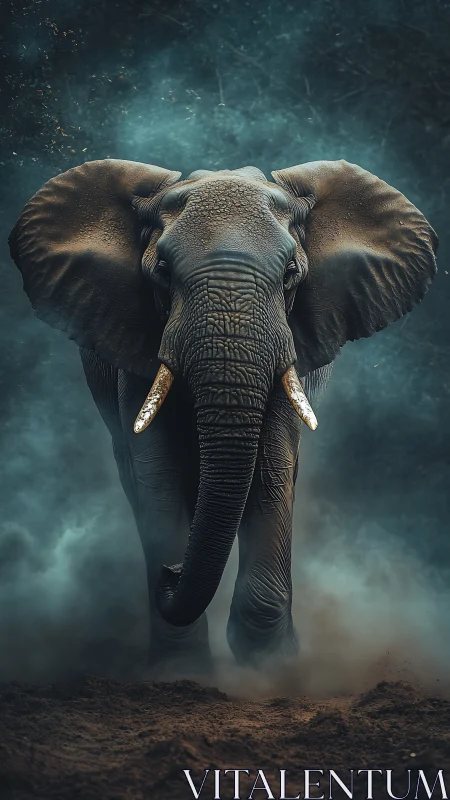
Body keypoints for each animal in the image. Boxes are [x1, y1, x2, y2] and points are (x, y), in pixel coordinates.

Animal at [9, 158, 437, 677]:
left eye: (291, 274)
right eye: (163, 272)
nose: (171, 574)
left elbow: (273, 471)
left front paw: (272, 671)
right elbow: (157, 478)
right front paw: (181, 675)